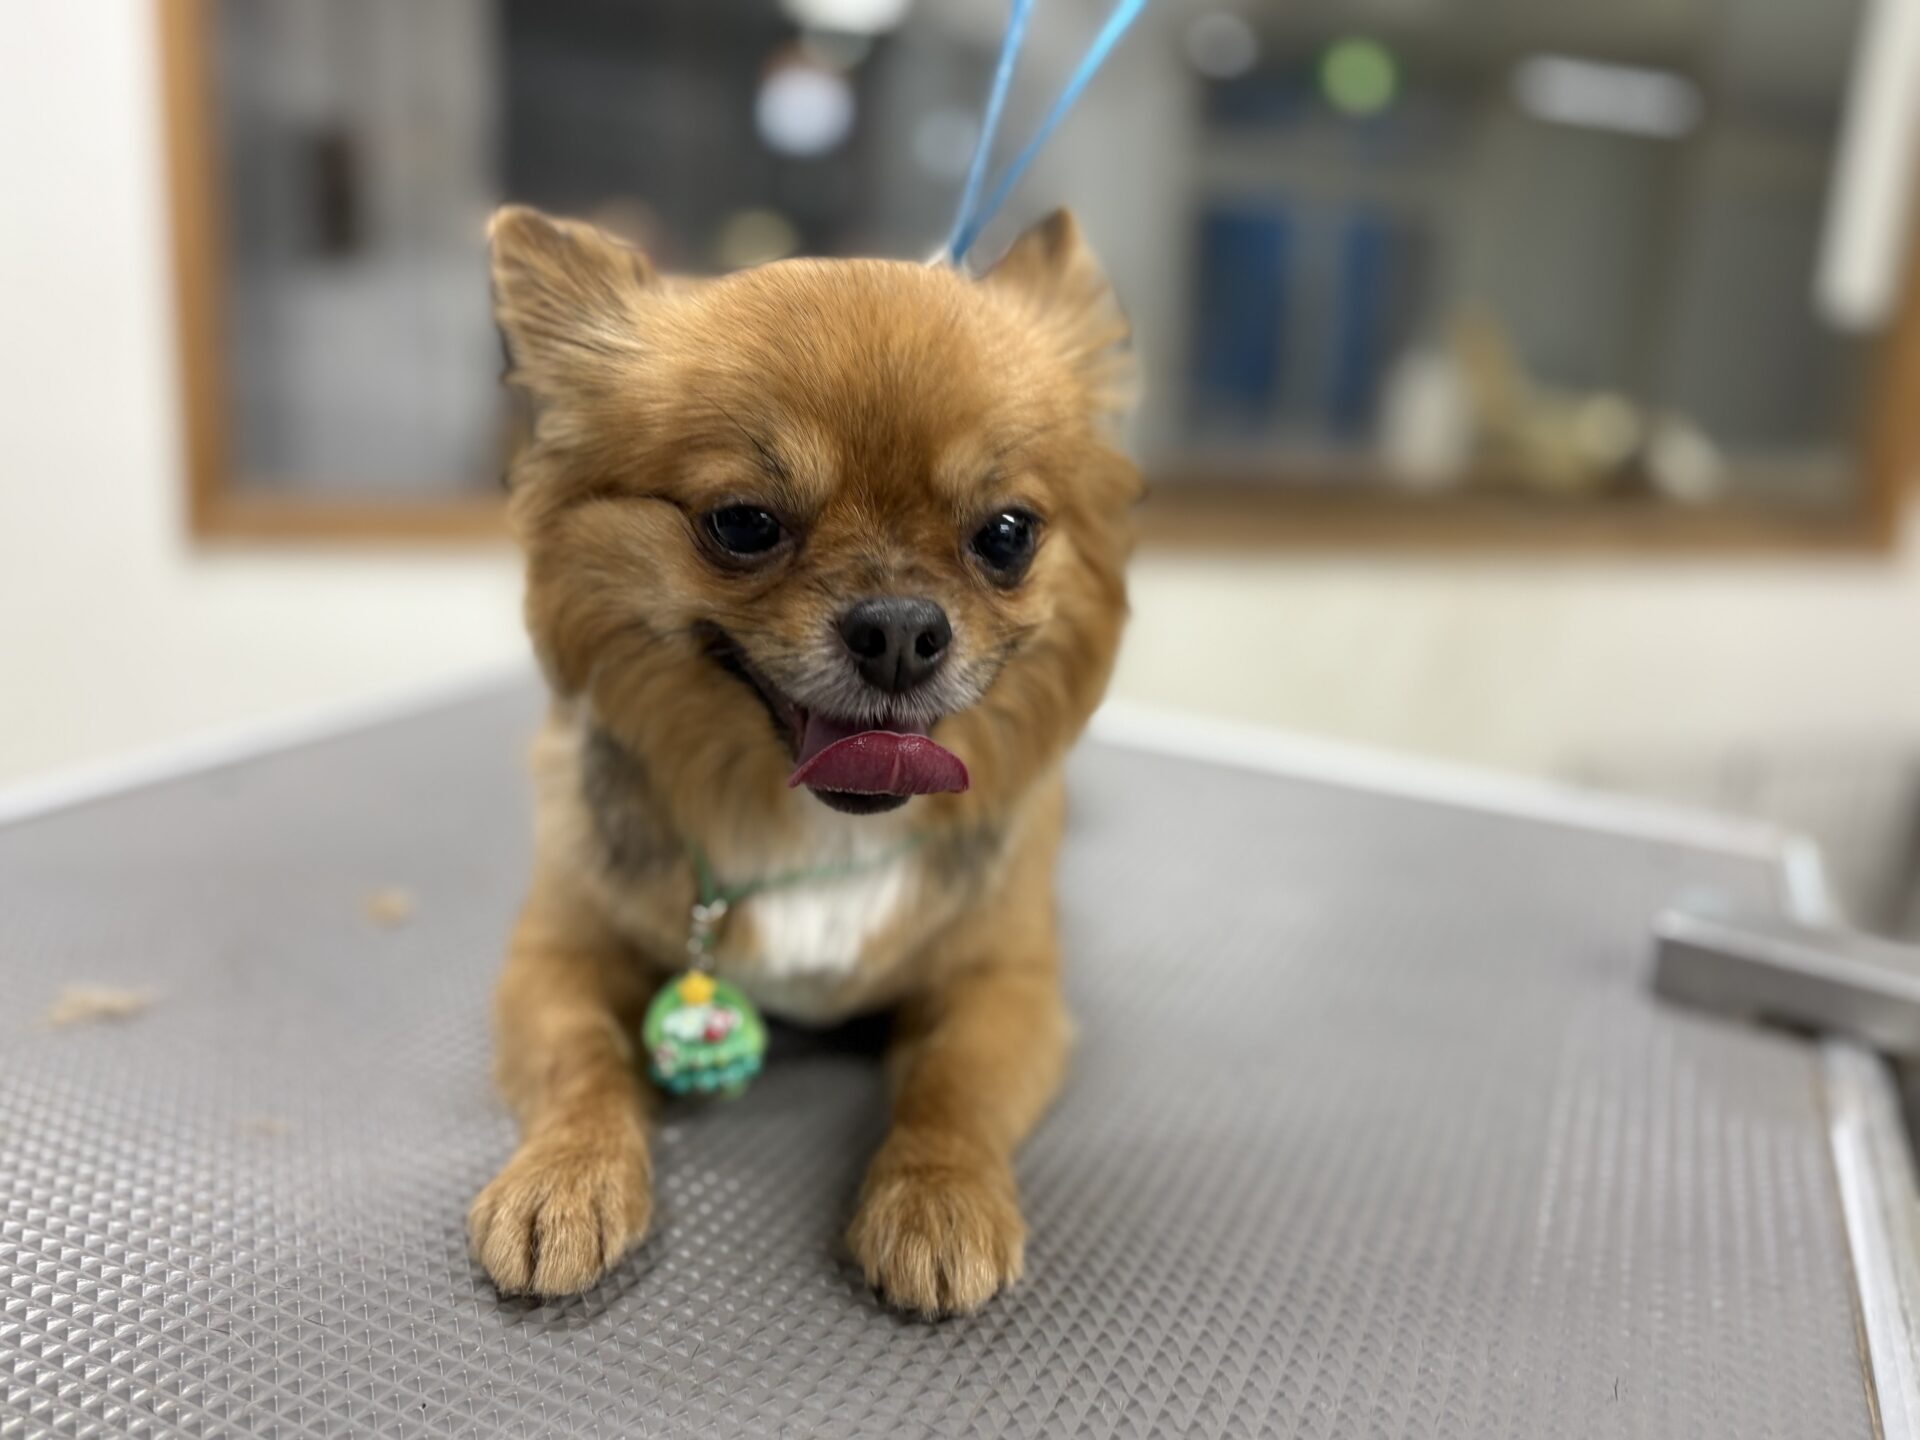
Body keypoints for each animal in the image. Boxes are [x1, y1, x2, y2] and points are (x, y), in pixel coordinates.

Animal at [466, 204, 1138, 1317]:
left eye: (1007, 534)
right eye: (743, 524)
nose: (902, 629)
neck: (810, 827)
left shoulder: (1005, 987)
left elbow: (954, 1089)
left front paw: (938, 1199)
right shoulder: (553, 958)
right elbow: (580, 1061)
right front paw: (564, 1176)